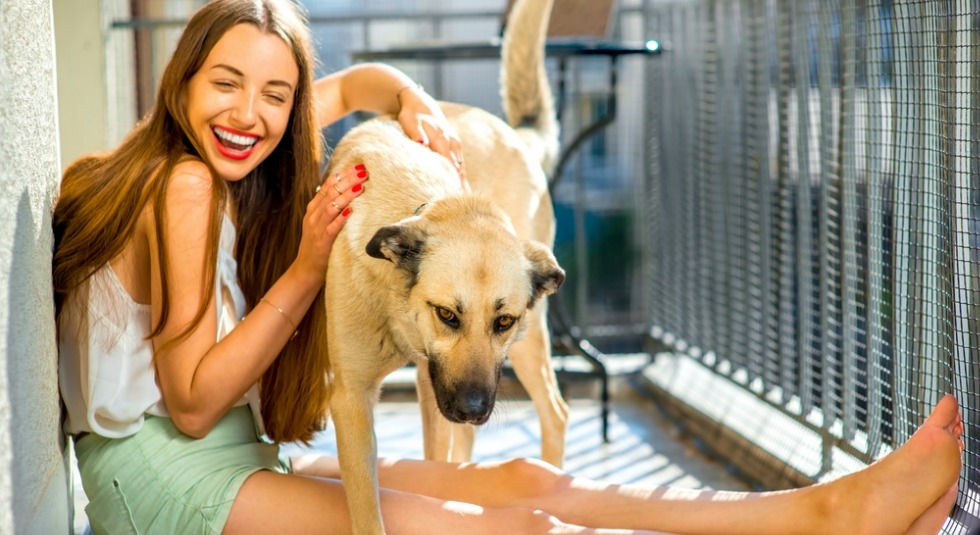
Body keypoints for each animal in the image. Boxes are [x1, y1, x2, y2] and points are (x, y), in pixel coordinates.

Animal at [324, 0, 564, 532]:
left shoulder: (436, 389)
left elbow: (436, 465)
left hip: (527, 346)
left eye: (502, 320)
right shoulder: (354, 401)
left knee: (555, 413)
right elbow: (370, 509)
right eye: (447, 315)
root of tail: (511, 133)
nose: (474, 408)